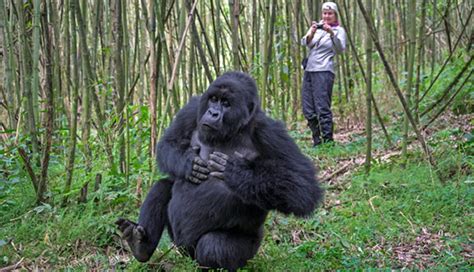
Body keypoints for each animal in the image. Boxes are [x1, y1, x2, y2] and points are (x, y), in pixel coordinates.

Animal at [115, 71, 322, 270]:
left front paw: (237, 172)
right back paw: (141, 245)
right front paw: (187, 163)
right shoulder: (193, 108)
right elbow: (169, 142)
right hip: (179, 245)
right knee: (163, 186)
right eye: (213, 99)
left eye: (226, 103)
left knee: (213, 246)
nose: (213, 112)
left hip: (246, 251)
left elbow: (303, 187)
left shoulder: (270, 131)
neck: (236, 128)